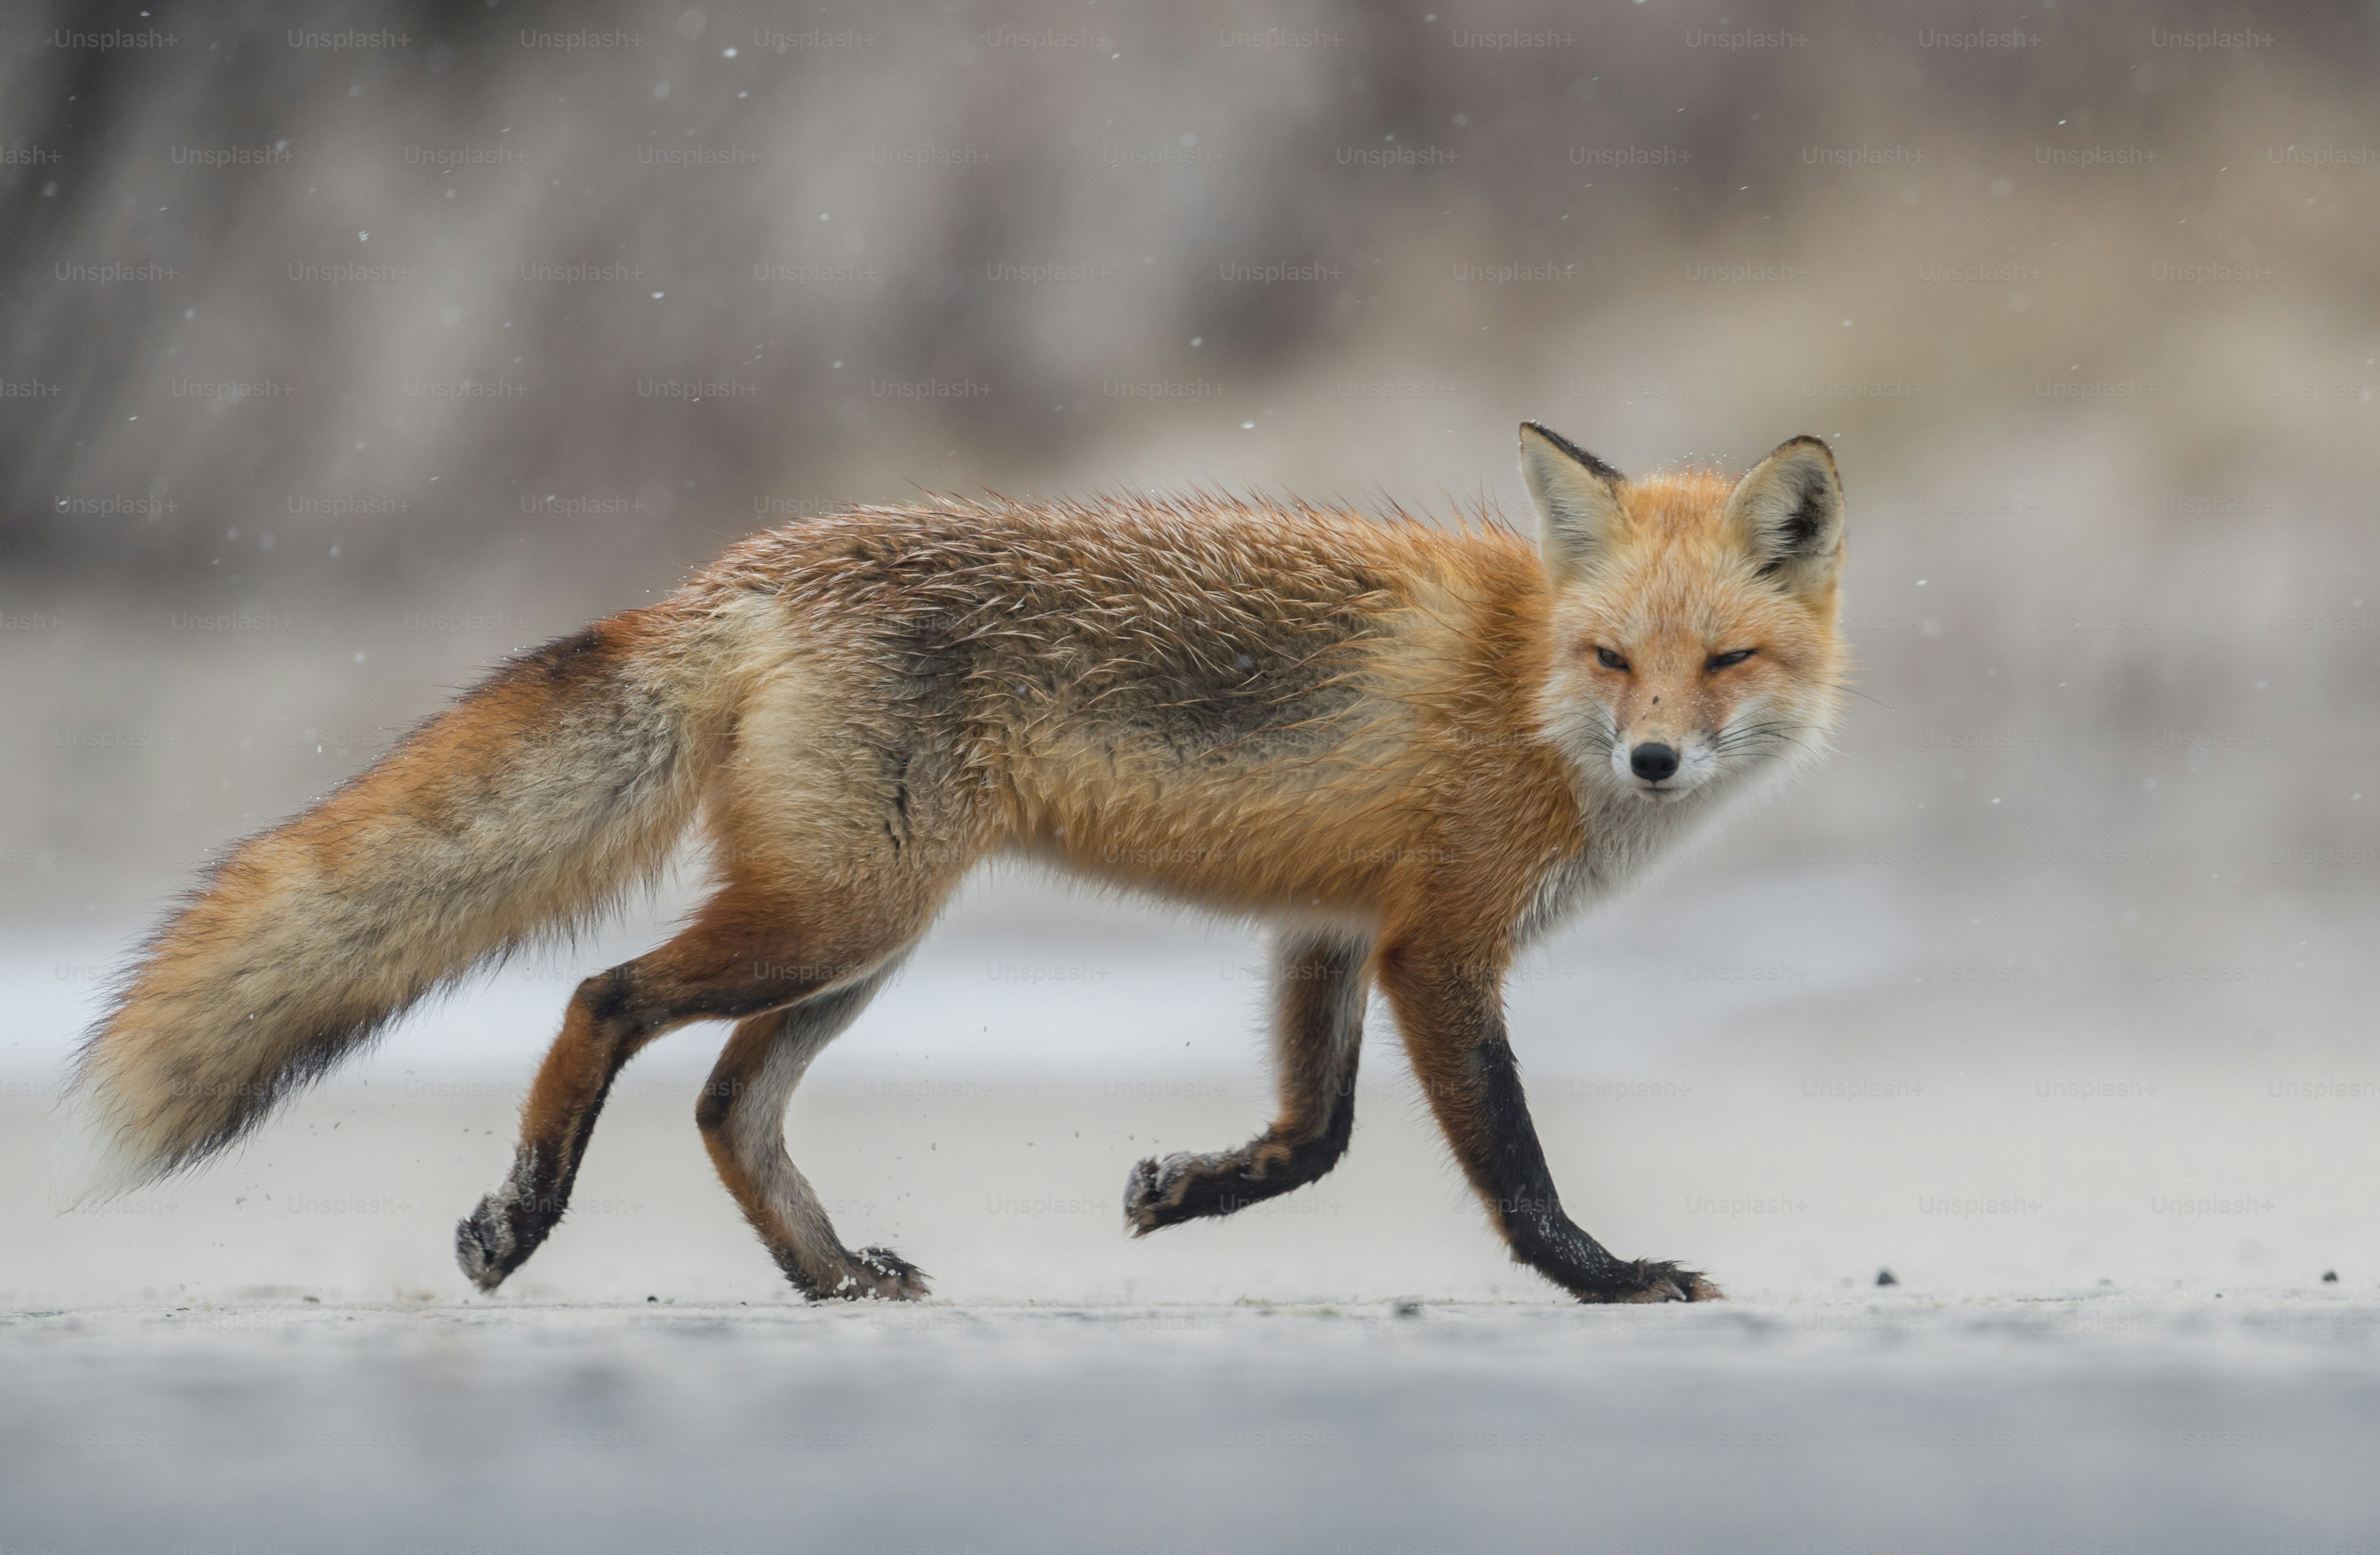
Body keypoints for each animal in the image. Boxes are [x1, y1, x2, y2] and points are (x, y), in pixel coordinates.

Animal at [67, 423, 1846, 1304]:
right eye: (1615, 661)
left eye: (1722, 663)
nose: (1654, 758)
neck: (1521, 683)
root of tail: (749, 567)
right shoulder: (1436, 945)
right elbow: (1512, 1163)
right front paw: (1604, 1278)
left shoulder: (1330, 930)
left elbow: (1315, 1135)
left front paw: (1186, 1190)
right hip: (839, 912)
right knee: (602, 999)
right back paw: (525, 1212)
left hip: (863, 938)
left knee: (726, 1103)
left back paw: (828, 1273)